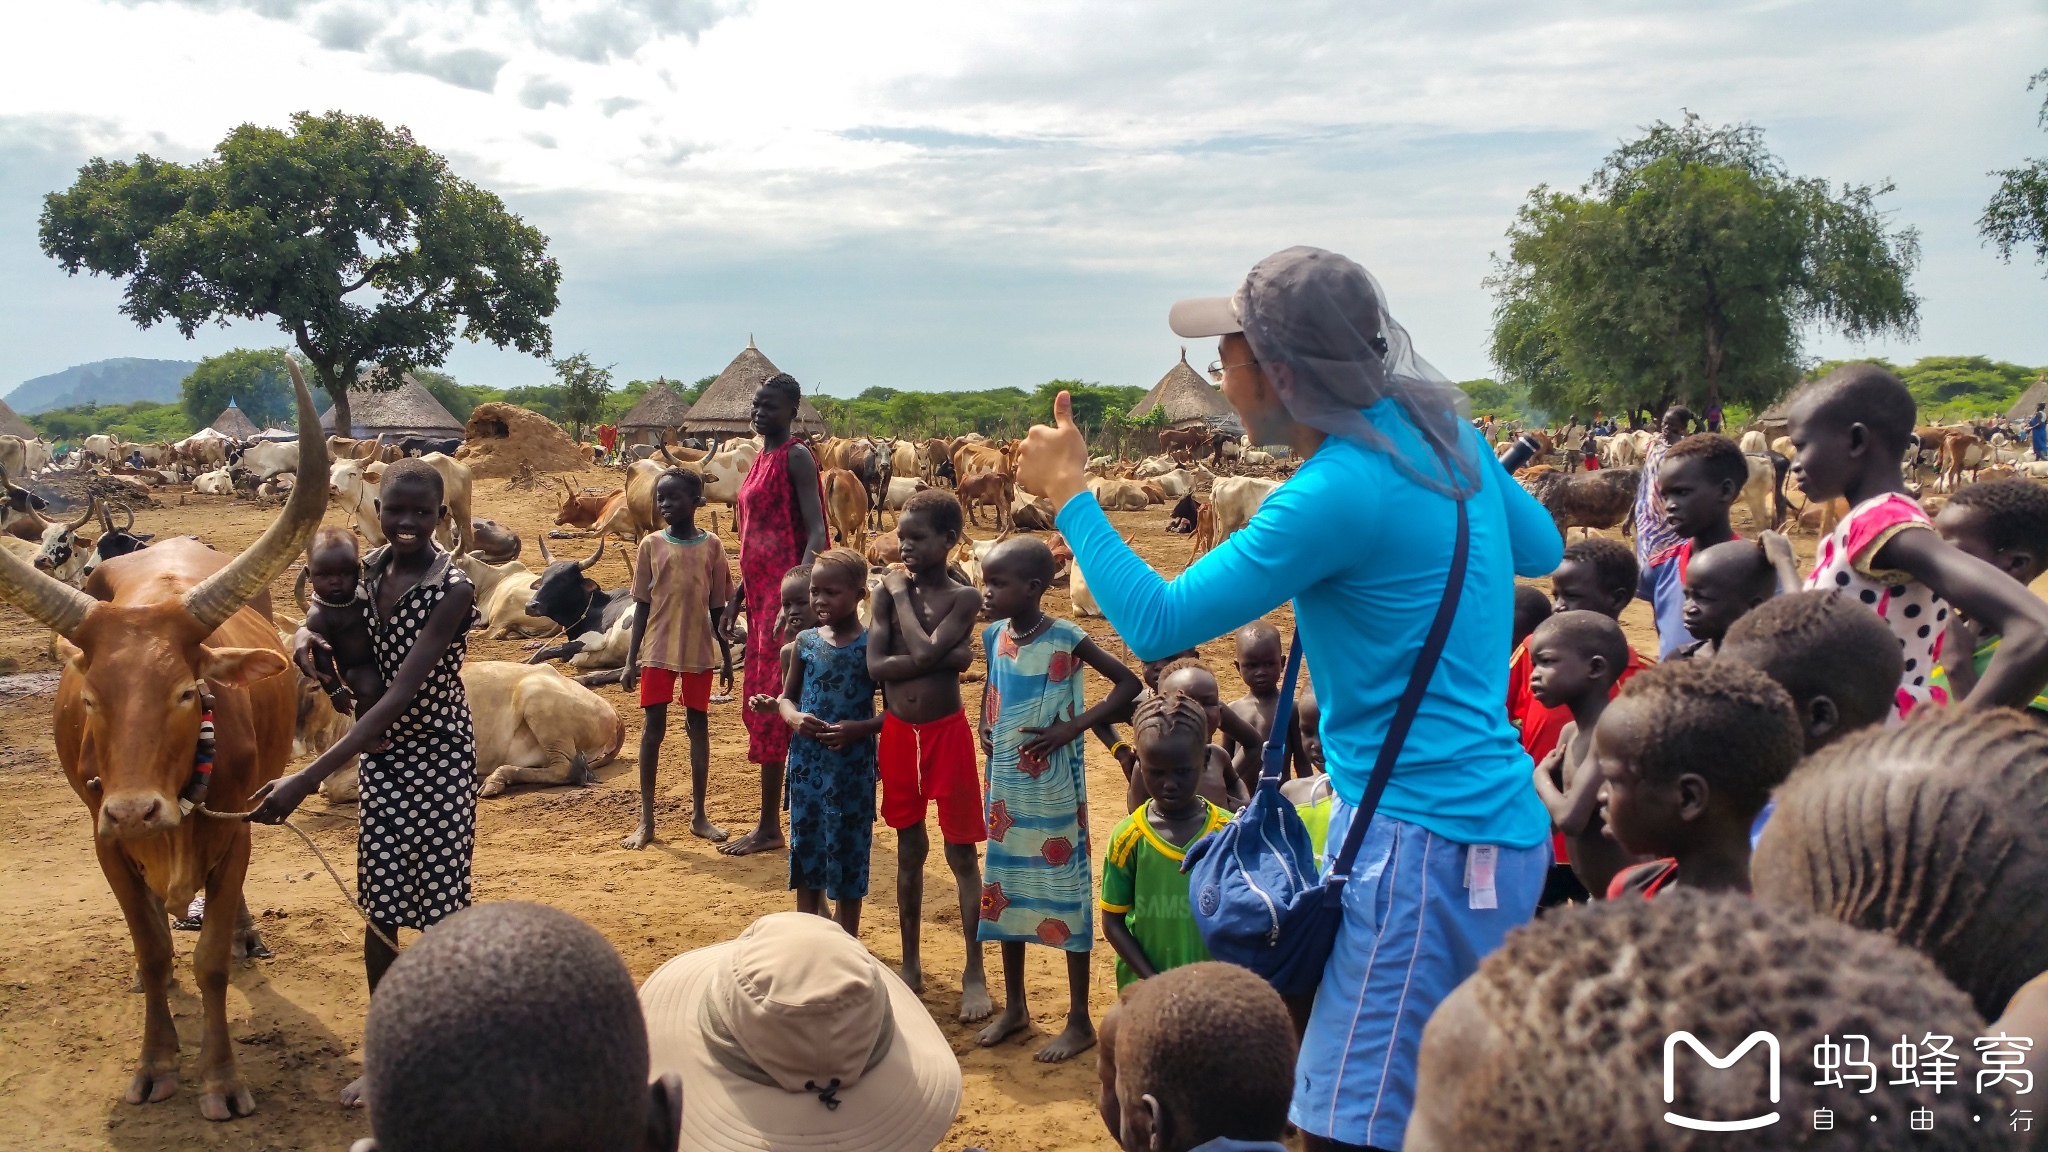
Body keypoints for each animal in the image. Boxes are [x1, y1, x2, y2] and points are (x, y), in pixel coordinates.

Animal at [0, 358, 323, 1115]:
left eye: (185, 692)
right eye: (90, 698)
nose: (134, 810)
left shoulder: (232, 836)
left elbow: (209, 963)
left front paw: (222, 1078)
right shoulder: (106, 846)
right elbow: (151, 952)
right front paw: (156, 1062)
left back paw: (244, 935)